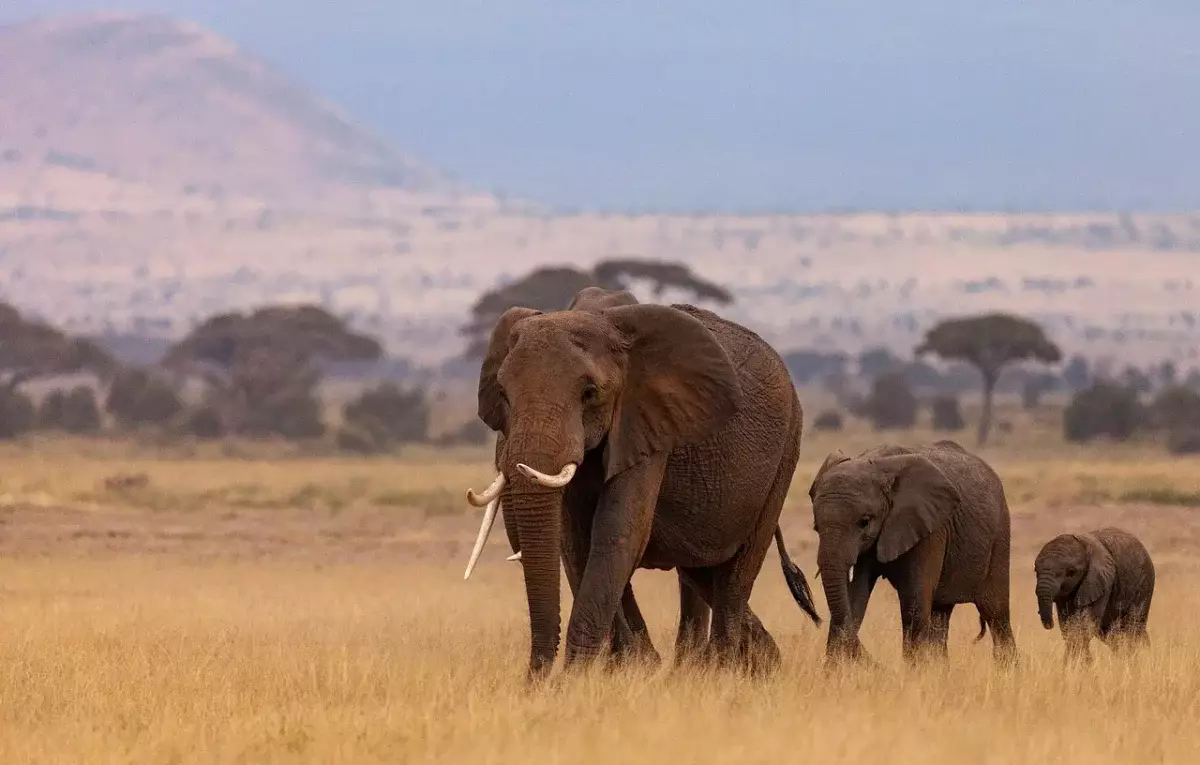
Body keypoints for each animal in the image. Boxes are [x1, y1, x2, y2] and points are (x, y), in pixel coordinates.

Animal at [456, 288, 816, 681]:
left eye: (589, 393)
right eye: (504, 395)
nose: (536, 679)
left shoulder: (649, 423)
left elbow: (617, 533)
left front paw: (578, 678)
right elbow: (577, 542)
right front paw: (628, 668)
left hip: (786, 451)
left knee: (737, 573)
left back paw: (720, 671)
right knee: (701, 572)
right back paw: (752, 664)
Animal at [806, 441, 1012, 666]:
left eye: (864, 522)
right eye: (816, 527)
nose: (877, 664)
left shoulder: (931, 527)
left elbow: (914, 601)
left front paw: (916, 671)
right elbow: (854, 597)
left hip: (999, 536)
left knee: (995, 612)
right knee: (941, 614)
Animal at [1032, 527, 1152, 666]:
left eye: (1070, 572)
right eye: (1035, 570)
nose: (1049, 625)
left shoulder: (1101, 581)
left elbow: (1084, 624)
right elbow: (1068, 626)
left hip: (1144, 584)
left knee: (1133, 627)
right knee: (1112, 635)